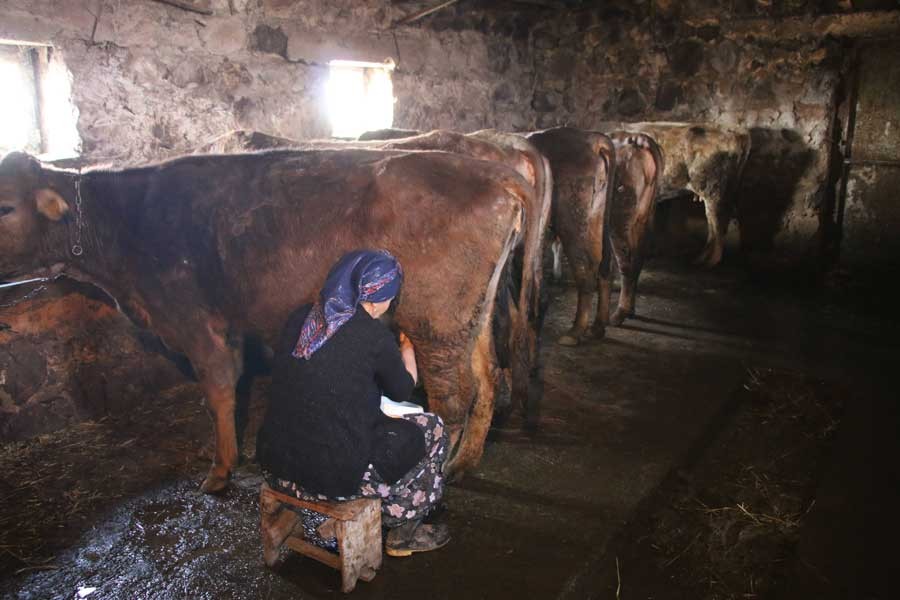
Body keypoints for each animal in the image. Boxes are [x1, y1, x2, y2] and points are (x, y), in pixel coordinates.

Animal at [0, 148, 532, 490]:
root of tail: (496, 172)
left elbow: (217, 392)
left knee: (453, 398)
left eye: (5, 205)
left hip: (436, 321)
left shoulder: (194, 320)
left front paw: (219, 472)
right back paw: (465, 463)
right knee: (488, 377)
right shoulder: (229, 324)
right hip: (472, 316)